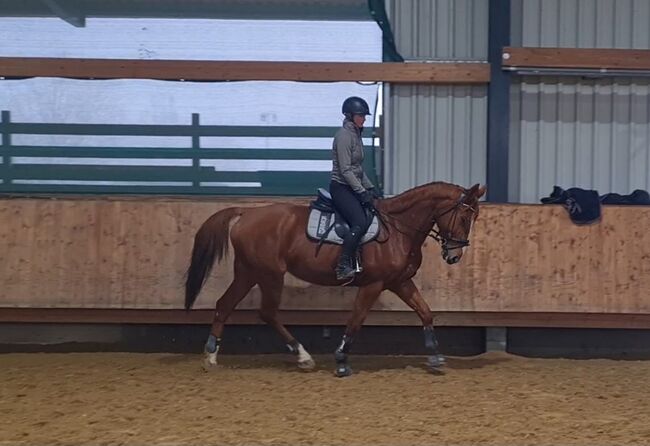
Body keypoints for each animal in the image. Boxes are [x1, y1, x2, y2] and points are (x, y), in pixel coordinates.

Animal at [185, 181, 484, 376]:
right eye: (464, 215)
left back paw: (210, 357)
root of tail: (247, 213)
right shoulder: (373, 284)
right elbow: (356, 320)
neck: (399, 230)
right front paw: (341, 360)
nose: (454, 255)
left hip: (249, 272)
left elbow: (425, 313)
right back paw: (303, 357)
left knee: (225, 304)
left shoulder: (399, 282)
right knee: (267, 312)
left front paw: (435, 357)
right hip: (269, 275)